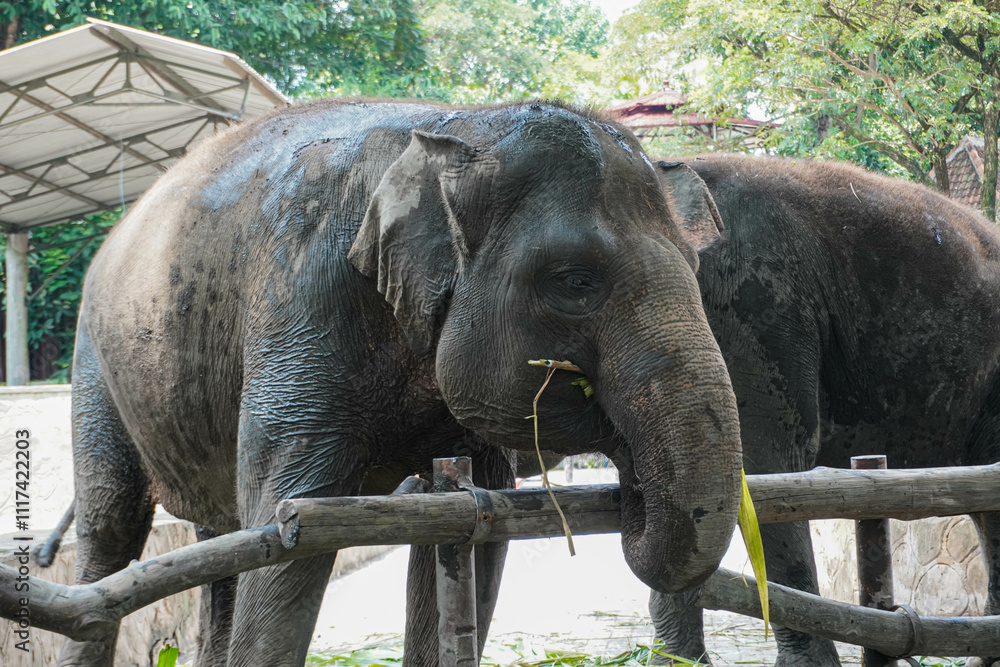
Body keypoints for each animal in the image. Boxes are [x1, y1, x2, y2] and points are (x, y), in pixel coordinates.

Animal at [63, 99, 744, 667]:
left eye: (695, 267)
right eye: (575, 281)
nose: (628, 494)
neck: (457, 124)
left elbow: (472, 529)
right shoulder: (303, 303)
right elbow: (290, 527)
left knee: (218, 532)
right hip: (91, 359)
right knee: (112, 528)